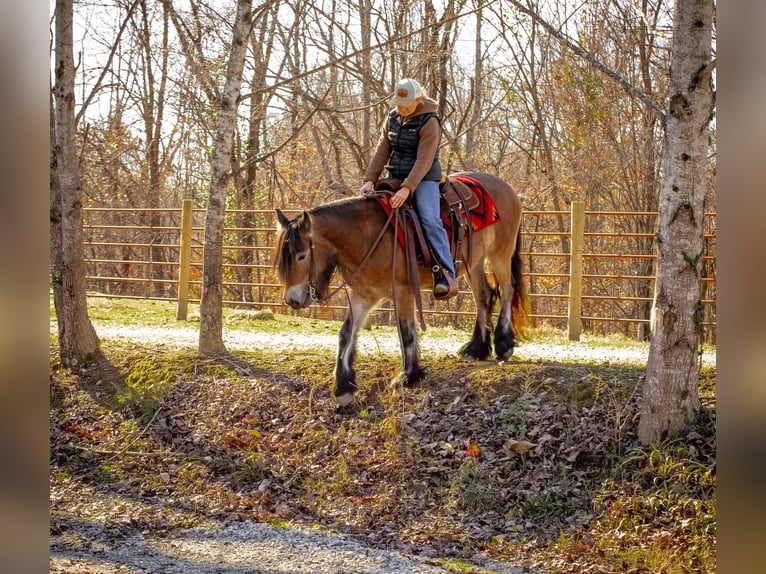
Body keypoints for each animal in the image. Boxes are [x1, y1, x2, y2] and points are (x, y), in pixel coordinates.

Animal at [274, 171, 526, 407]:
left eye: (302, 256)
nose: (292, 300)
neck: (369, 236)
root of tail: (506, 188)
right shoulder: (362, 295)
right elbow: (346, 334)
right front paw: (343, 386)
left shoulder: (404, 292)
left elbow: (405, 331)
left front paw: (409, 376)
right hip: (474, 262)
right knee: (484, 296)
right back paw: (476, 349)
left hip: (500, 253)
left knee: (508, 290)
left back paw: (504, 344)